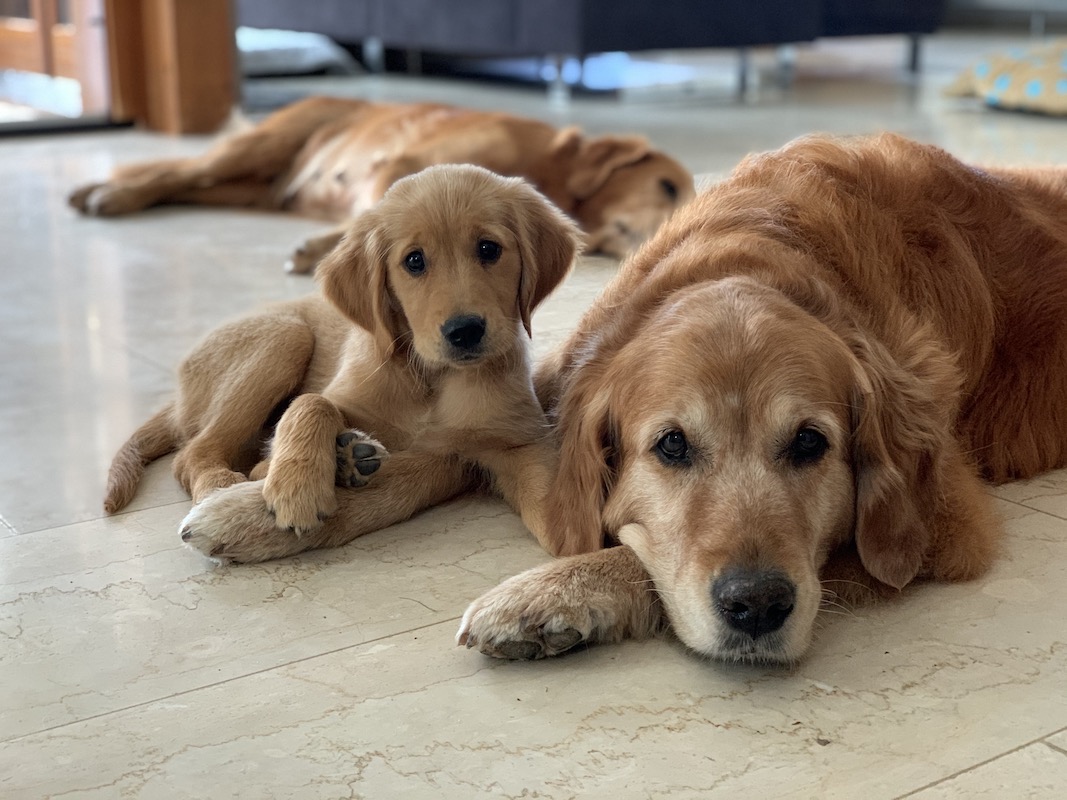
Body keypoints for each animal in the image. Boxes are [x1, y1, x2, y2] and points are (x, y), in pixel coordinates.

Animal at [69, 97, 694, 272]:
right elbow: (380, 219)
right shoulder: (406, 162)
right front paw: (330, 249)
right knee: (176, 171)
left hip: (243, 186)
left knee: (182, 183)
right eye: (667, 186)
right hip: (256, 148)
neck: (551, 169)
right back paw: (104, 193)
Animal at [106, 164, 591, 564]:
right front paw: (296, 484)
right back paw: (231, 483)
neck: (430, 379)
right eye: (414, 261)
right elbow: (312, 404)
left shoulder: (516, 444)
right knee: (193, 453)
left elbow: (568, 528)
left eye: (489, 249)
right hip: (285, 336)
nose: (465, 331)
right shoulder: (345, 393)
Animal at [458, 133, 1067, 664]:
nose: (757, 605)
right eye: (672, 445)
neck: (748, 253)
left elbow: (646, 558)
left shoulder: (945, 522)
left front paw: (555, 591)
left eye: (809, 443)